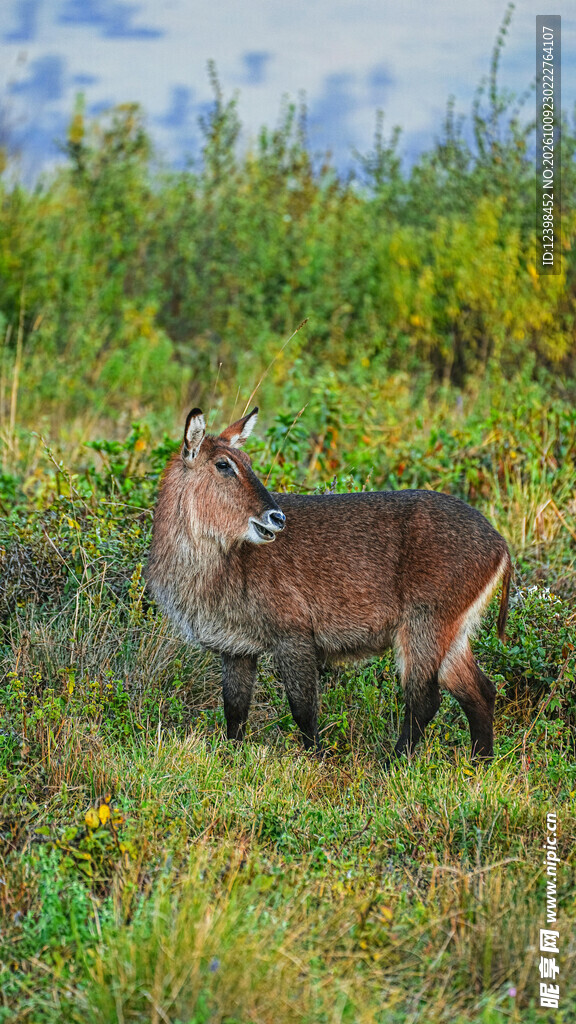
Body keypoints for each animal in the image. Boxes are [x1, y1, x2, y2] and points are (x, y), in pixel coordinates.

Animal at [145, 407, 512, 763]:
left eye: (248, 462)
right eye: (223, 464)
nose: (276, 518)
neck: (218, 563)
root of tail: (499, 543)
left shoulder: (293, 635)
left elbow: (303, 708)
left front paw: (315, 759)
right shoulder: (236, 648)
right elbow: (235, 711)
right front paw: (230, 757)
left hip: (424, 625)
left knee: (425, 699)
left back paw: (391, 763)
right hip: (454, 633)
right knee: (481, 692)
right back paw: (479, 764)